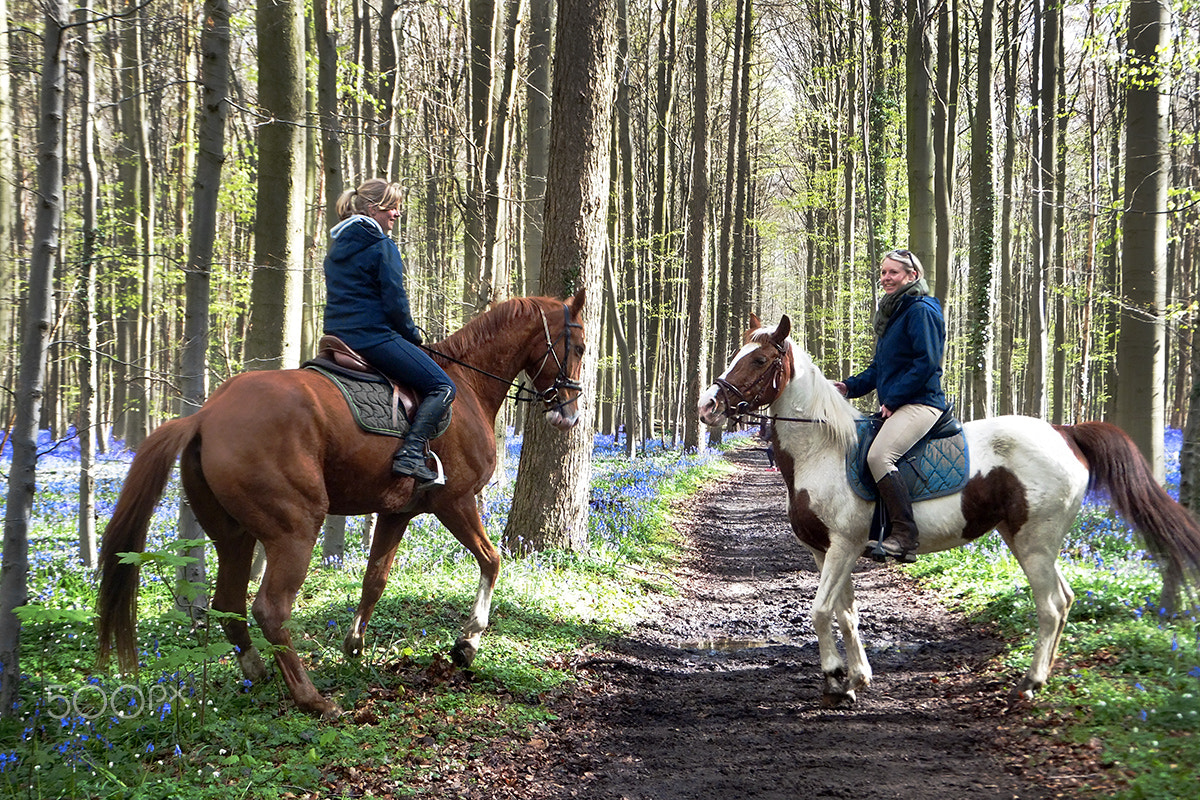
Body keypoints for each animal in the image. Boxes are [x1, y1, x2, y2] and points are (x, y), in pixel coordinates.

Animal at [100, 292, 588, 719]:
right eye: (580, 346)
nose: (569, 414)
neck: (467, 385)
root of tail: (204, 415)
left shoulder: (396, 512)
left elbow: (375, 579)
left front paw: (354, 644)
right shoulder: (455, 501)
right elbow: (492, 559)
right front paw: (467, 643)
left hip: (233, 535)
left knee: (230, 603)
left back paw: (256, 671)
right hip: (294, 528)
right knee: (270, 608)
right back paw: (312, 699)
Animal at [700, 311, 1200, 705]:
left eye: (758, 360)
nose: (708, 405)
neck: (822, 450)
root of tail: (1065, 432)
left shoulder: (844, 545)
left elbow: (822, 612)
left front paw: (835, 679)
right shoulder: (823, 551)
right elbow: (845, 614)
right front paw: (856, 677)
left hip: (1035, 541)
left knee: (1052, 605)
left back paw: (1030, 683)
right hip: (1024, 538)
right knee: (1066, 598)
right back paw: (1042, 677)